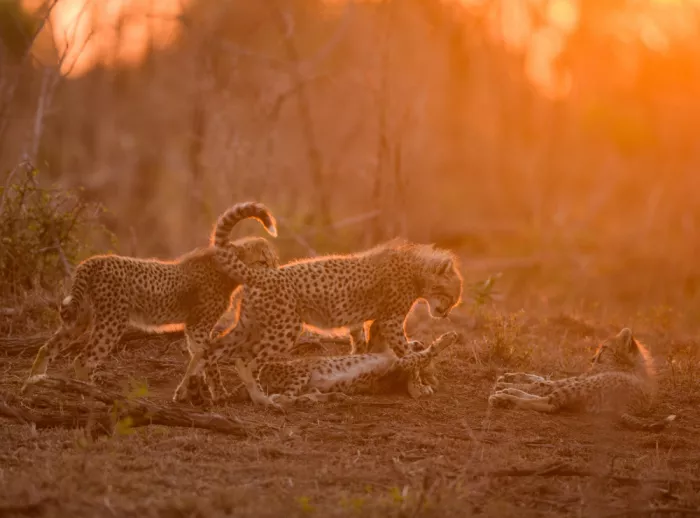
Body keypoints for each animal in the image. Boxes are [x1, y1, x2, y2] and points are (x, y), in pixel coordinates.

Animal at [21, 202, 278, 395]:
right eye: (263, 261)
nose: (276, 273)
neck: (227, 271)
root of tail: (93, 260)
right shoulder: (198, 326)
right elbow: (208, 357)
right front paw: (218, 393)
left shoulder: (193, 327)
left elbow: (199, 356)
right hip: (112, 322)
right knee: (82, 360)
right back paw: (88, 391)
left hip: (80, 319)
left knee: (47, 347)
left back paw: (33, 382)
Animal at [219, 331, 460, 406]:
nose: (418, 342)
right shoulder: (396, 362)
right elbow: (421, 357)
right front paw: (445, 339)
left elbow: (417, 366)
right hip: (300, 372)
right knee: (278, 398)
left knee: (286, 397)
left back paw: (330, 397)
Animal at [488, 328, 677, 432]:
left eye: (604, 348)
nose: (592, 359)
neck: (629, 363)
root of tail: (629, 407)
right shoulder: (578, 378)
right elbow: (540, 379)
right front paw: (509, 378)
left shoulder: (581, 379)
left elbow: (541, 384)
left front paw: (505, 382)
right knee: (548, 399)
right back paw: (508, 393)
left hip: (582, 386)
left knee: (549, 404)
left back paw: (504, 397)